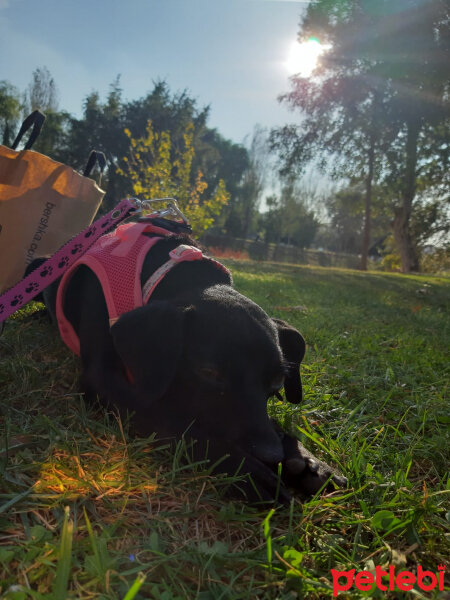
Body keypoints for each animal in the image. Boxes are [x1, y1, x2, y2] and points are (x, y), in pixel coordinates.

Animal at [36, 232, 344, 504]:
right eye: (209, 373)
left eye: (278, 380)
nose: (270, 455)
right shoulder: (103, 379)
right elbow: (171, 419)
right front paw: (244, 471)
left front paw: (307, 459)